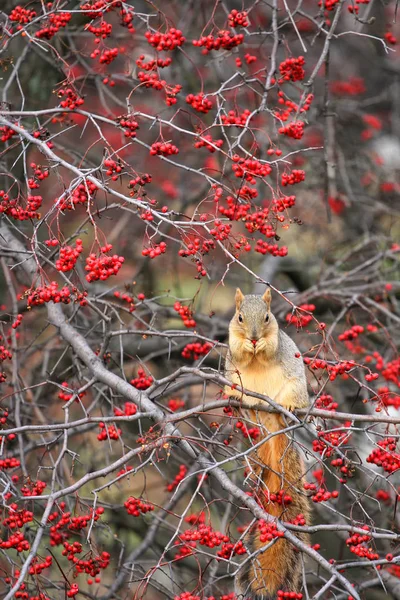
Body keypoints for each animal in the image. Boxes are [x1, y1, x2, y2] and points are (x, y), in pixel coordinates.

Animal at [225, 288, 310, 600]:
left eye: (267, 317)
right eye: (239, 317)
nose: (252, 337)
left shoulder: (276, 339)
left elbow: (272, 347)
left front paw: (260, 345)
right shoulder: (231, 340)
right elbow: (237, 350)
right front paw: (247, 347)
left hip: (295, 388)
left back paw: (289, 406)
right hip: (234, 386)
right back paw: (237, 400)